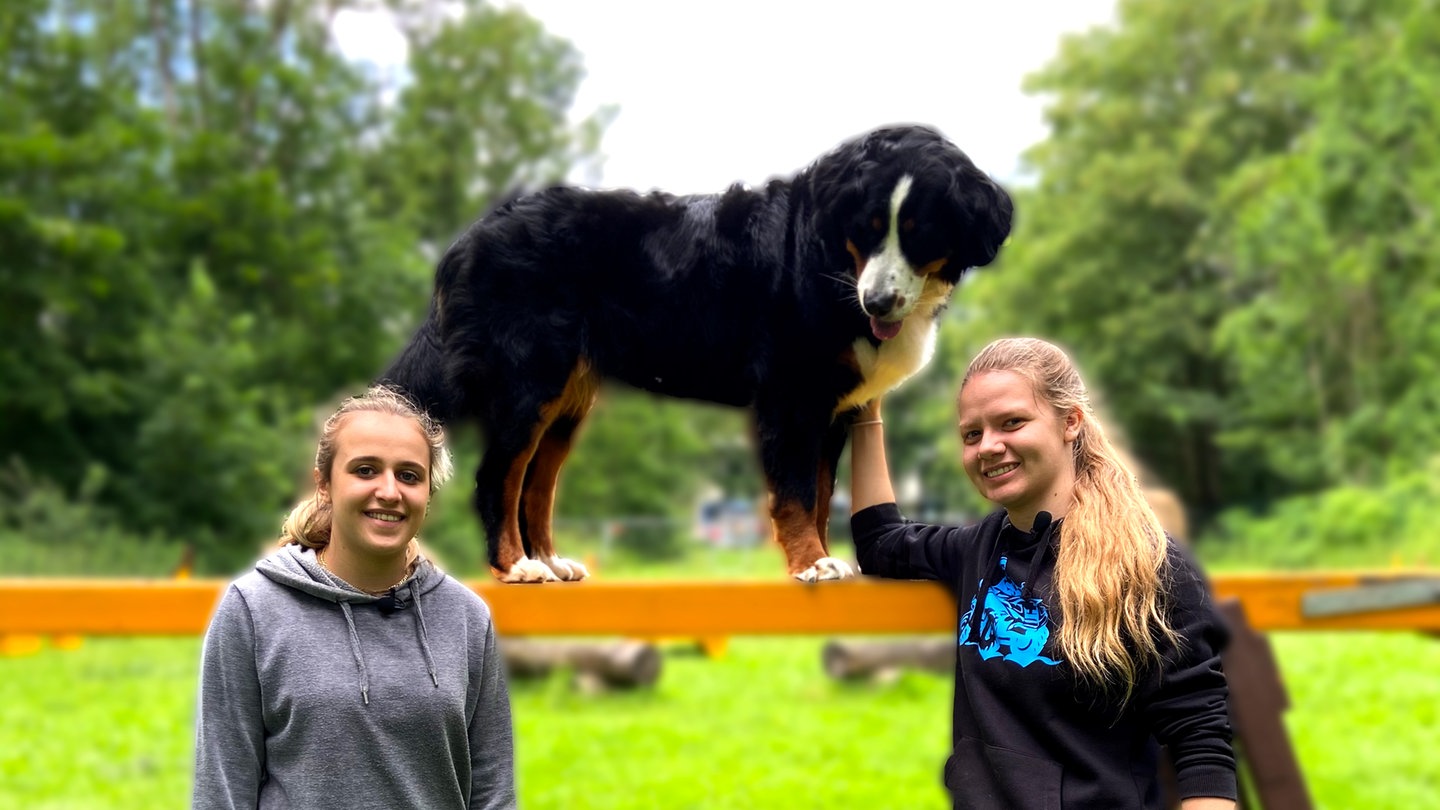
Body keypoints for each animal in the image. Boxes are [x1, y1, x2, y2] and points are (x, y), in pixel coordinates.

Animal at [383, 123, 1013, 579]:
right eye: (868, 227)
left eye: (921, 229)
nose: (878, 301)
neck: (833, 261)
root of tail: (474, 234)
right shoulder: (792, 395)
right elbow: (795, 492)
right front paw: (811, 563)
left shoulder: (832, 407)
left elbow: (820, 493)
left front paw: (824, 557)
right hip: (531, 380)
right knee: (499, 476)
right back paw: (517, 567)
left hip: (566, 400)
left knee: (537, 483)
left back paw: (550, 560)